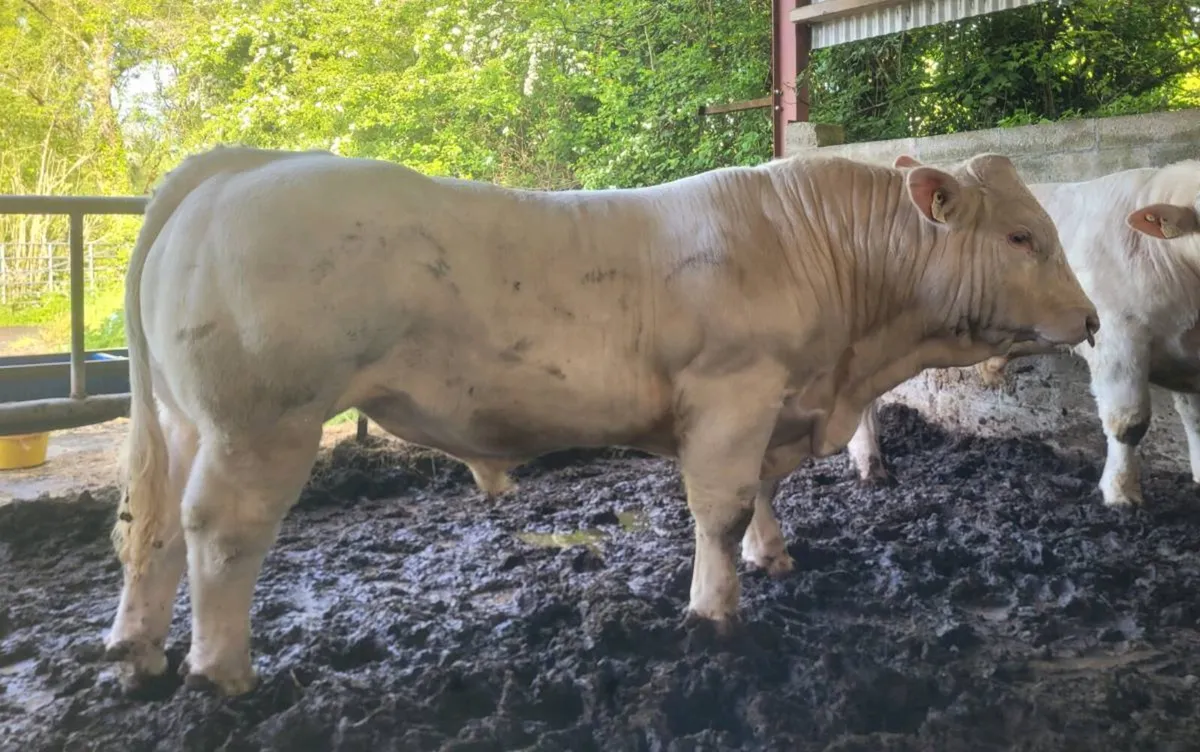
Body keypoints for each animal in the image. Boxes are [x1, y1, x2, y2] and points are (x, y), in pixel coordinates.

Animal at [102, 145, 1097, 697]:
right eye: (1021, 237)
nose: (1090, 319)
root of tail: (244, 162)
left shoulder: (780, 402)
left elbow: (764, 495)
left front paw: (773, 560)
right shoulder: (732, 393)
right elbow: (720, 508)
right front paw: (715, 614)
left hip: (190, 422)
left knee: (150, 527)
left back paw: (138, 651)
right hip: (261, 420)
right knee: (220, 531)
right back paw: (222, 673)